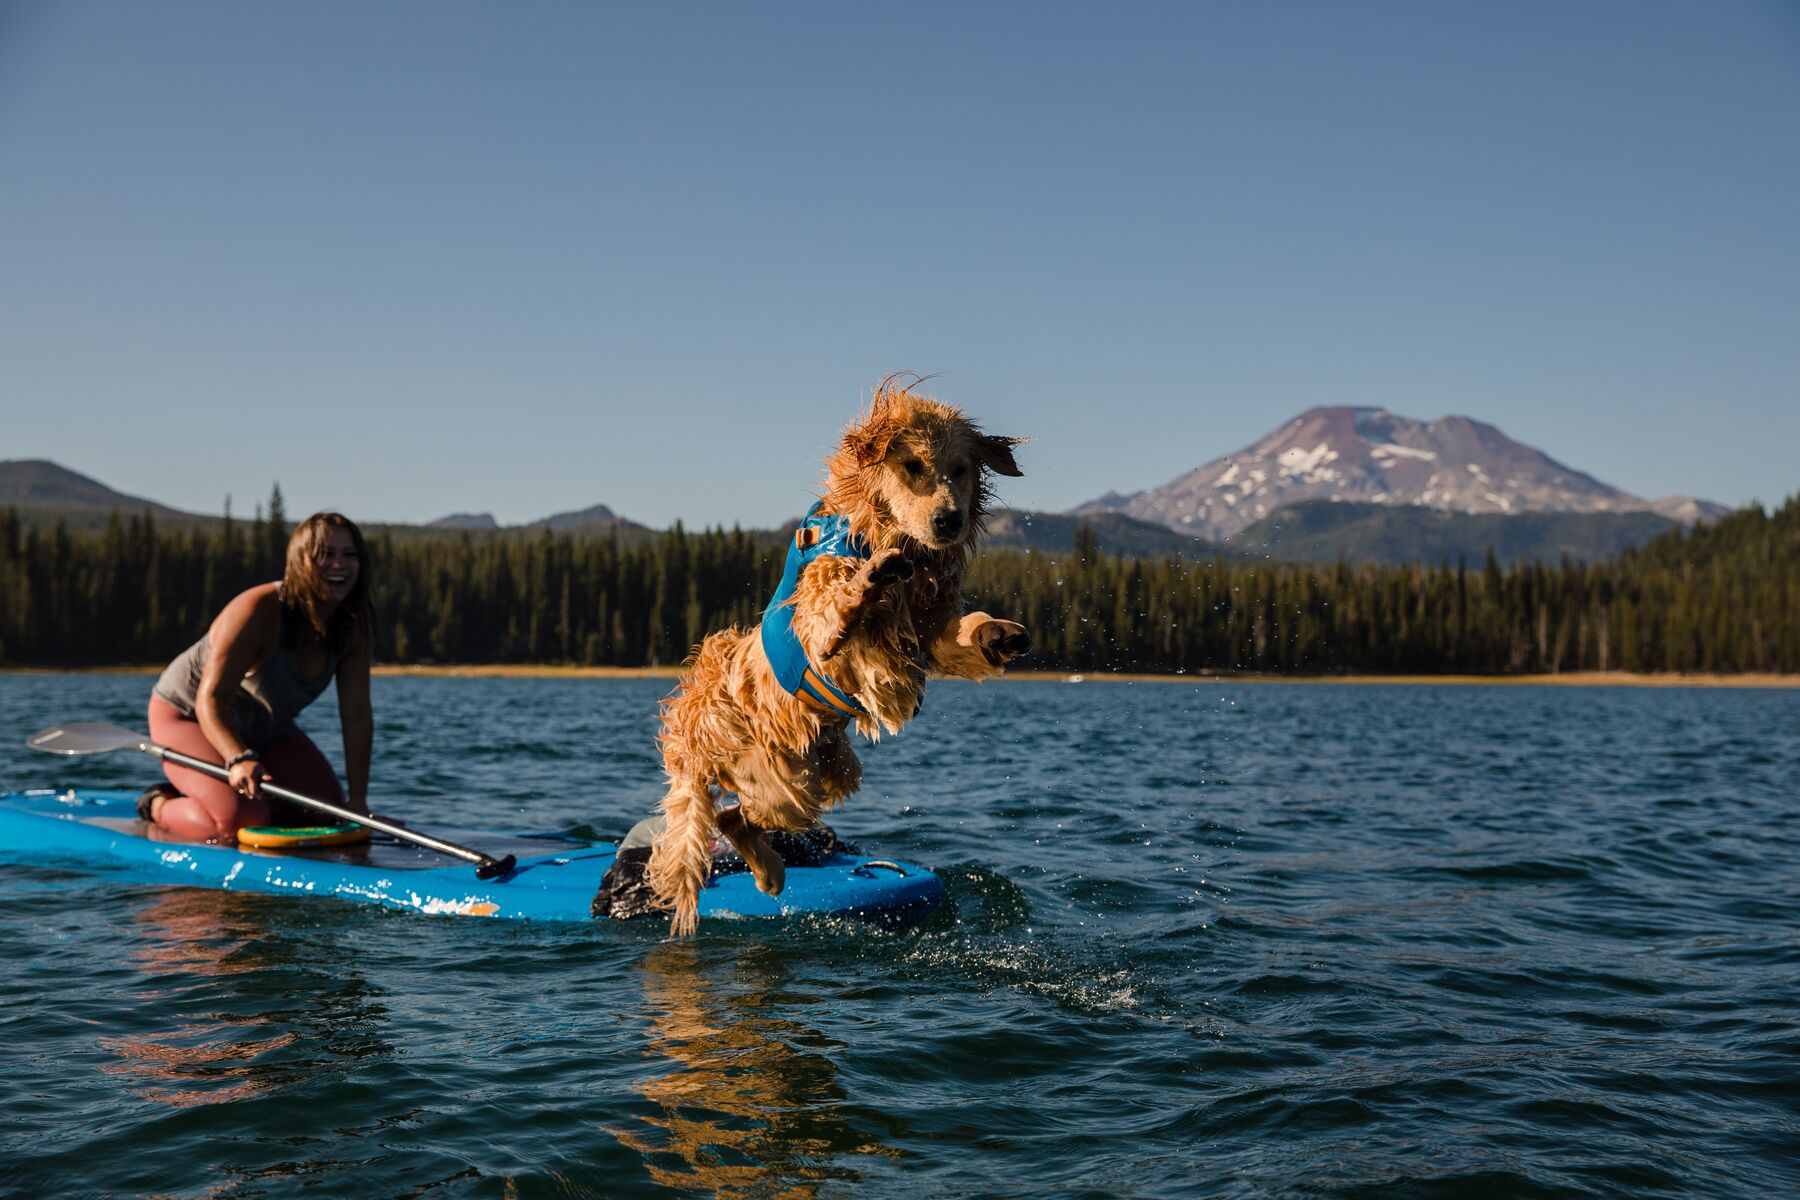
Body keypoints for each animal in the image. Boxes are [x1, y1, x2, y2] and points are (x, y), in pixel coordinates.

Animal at [651, 379, 1036, 935]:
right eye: (912, 465)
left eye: (961, 468)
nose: (950, 519)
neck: (885, 533)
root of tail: (693, 720)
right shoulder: (826, 637)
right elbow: (834, 613)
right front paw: (866, 582)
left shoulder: (930, 627)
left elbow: (961, 632)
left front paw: (996, 634)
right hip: (784, 780)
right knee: (729, 817)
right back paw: (768, 869)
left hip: (823, 770)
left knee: (733, 817)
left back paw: (770, 872)